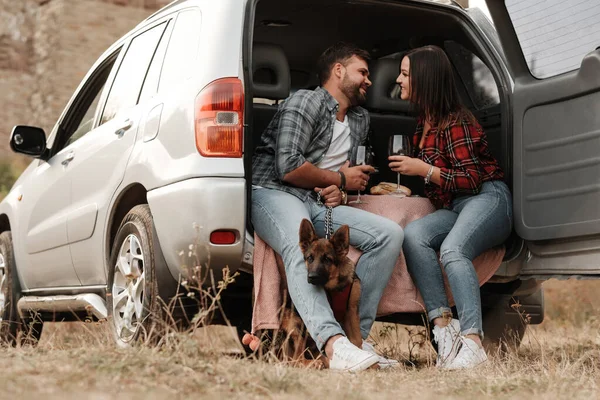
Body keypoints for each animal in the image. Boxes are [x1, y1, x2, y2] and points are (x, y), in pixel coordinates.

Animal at [274, 219, 364, 368]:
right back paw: (312, 363)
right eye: (309, 258)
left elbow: (357, 340)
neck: (335, 285)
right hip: (294, 322)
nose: (312, 277)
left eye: (327, 259)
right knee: (297, 358)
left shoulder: (351, 311)